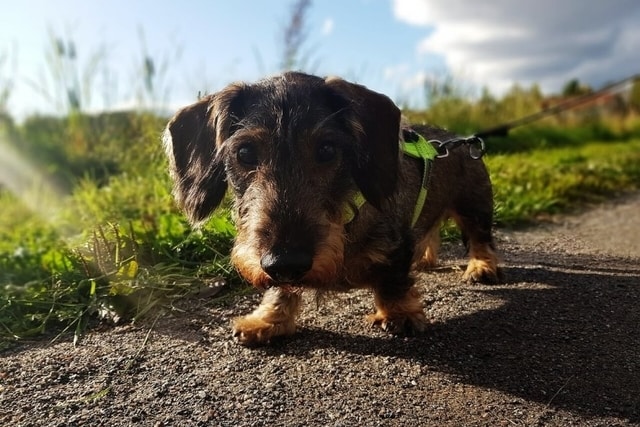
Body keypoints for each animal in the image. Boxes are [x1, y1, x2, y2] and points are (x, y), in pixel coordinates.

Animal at [162, 72, 502, 346]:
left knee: (480, 238)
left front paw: (399, 313)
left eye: (327, 149)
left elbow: (393, 279)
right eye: (244, 153)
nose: (285, 263)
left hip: (475, 205)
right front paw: (268, 319)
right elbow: (279, 290)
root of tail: (457, 140)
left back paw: (481, 267)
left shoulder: (396, 245)